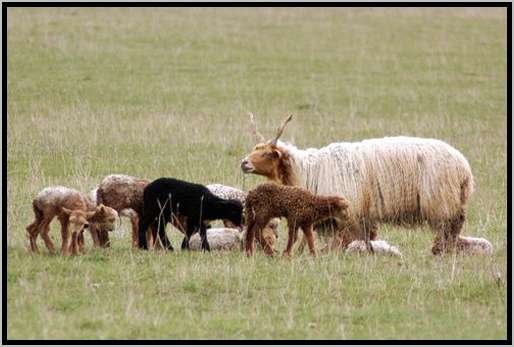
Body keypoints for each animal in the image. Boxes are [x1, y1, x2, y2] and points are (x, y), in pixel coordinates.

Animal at [238, 114, 490, 256]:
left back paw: (440, 251)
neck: (309, 170)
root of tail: (465, 169)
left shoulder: (351, 214)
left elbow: (349, 239)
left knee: (449, 227)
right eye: (254, 149)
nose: (244, 163)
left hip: (442, 201)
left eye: (268, 153)